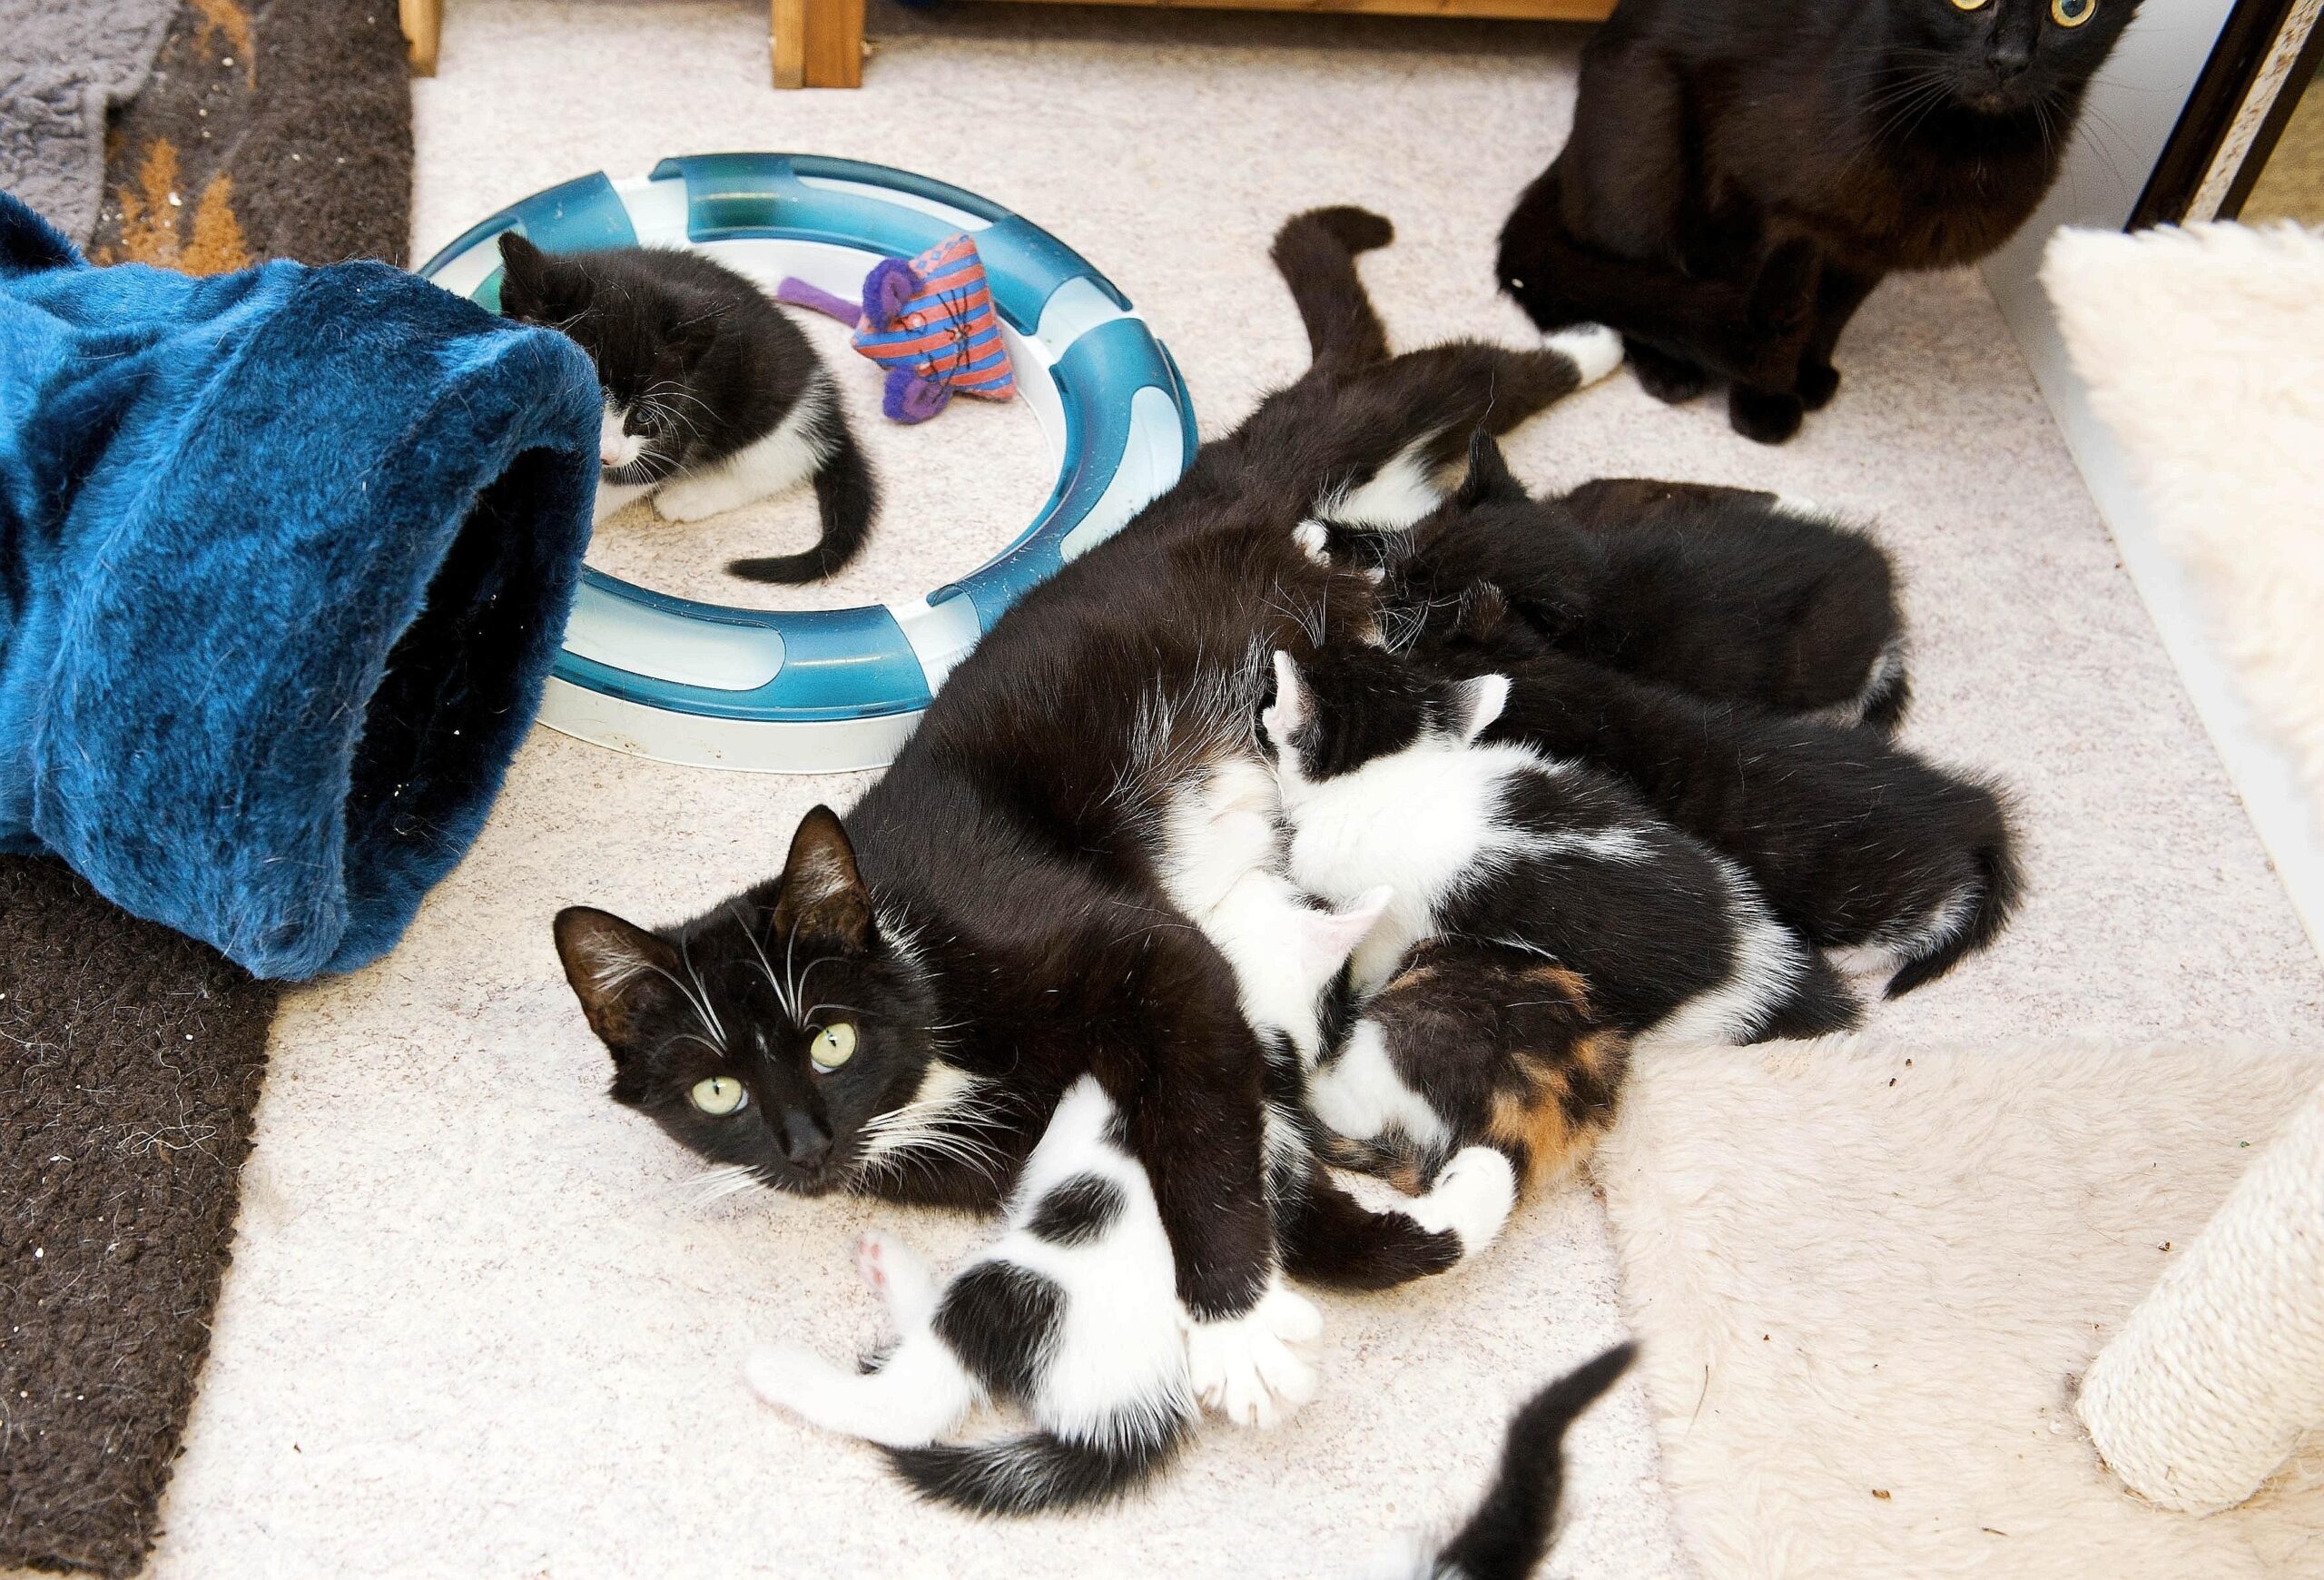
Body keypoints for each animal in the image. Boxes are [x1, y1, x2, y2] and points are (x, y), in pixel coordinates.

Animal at [495, 231, 873, 583]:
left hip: (771, 414)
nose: (608, 456)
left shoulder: (681, 422)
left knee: (773, 465)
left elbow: (633, 477)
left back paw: (691, 496)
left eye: (644, 415)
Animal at [553, 212, 1627, 1458]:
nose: (806, 1148)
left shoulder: (1151, 958)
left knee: (1458, 371)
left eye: (828, 1040)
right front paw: (1427, 1212)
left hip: (1336, 437)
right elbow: (1337, 1227)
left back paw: (1593, 342)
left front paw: (1235, 1329)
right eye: (716, 1096)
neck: (932, 1049)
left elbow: (1203, 1134)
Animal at [1505, 0, 2138, 441]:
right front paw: (1763, 408)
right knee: (1633, 275)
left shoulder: (1866, 245)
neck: (1965, 149)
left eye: (2072, 9)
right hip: (1645, 147)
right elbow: (1779, 313)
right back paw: (1669, 367)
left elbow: (1832, 315)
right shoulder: (1780, 220)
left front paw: (1809, 376)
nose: (2009, 60)